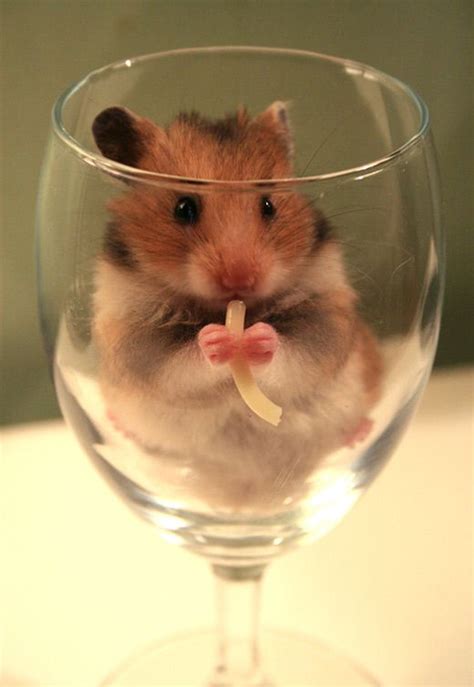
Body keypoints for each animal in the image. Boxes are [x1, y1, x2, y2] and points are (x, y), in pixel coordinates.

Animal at [90, 102, 382, 510]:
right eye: (183, 207)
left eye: (269, 204)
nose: (240, 279)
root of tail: (247, 497)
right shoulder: (137, 339)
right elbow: (180, 362)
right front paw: (217, 340)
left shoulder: (326, 317)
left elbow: (294, 352)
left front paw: (258, 338)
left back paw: (360, 431)